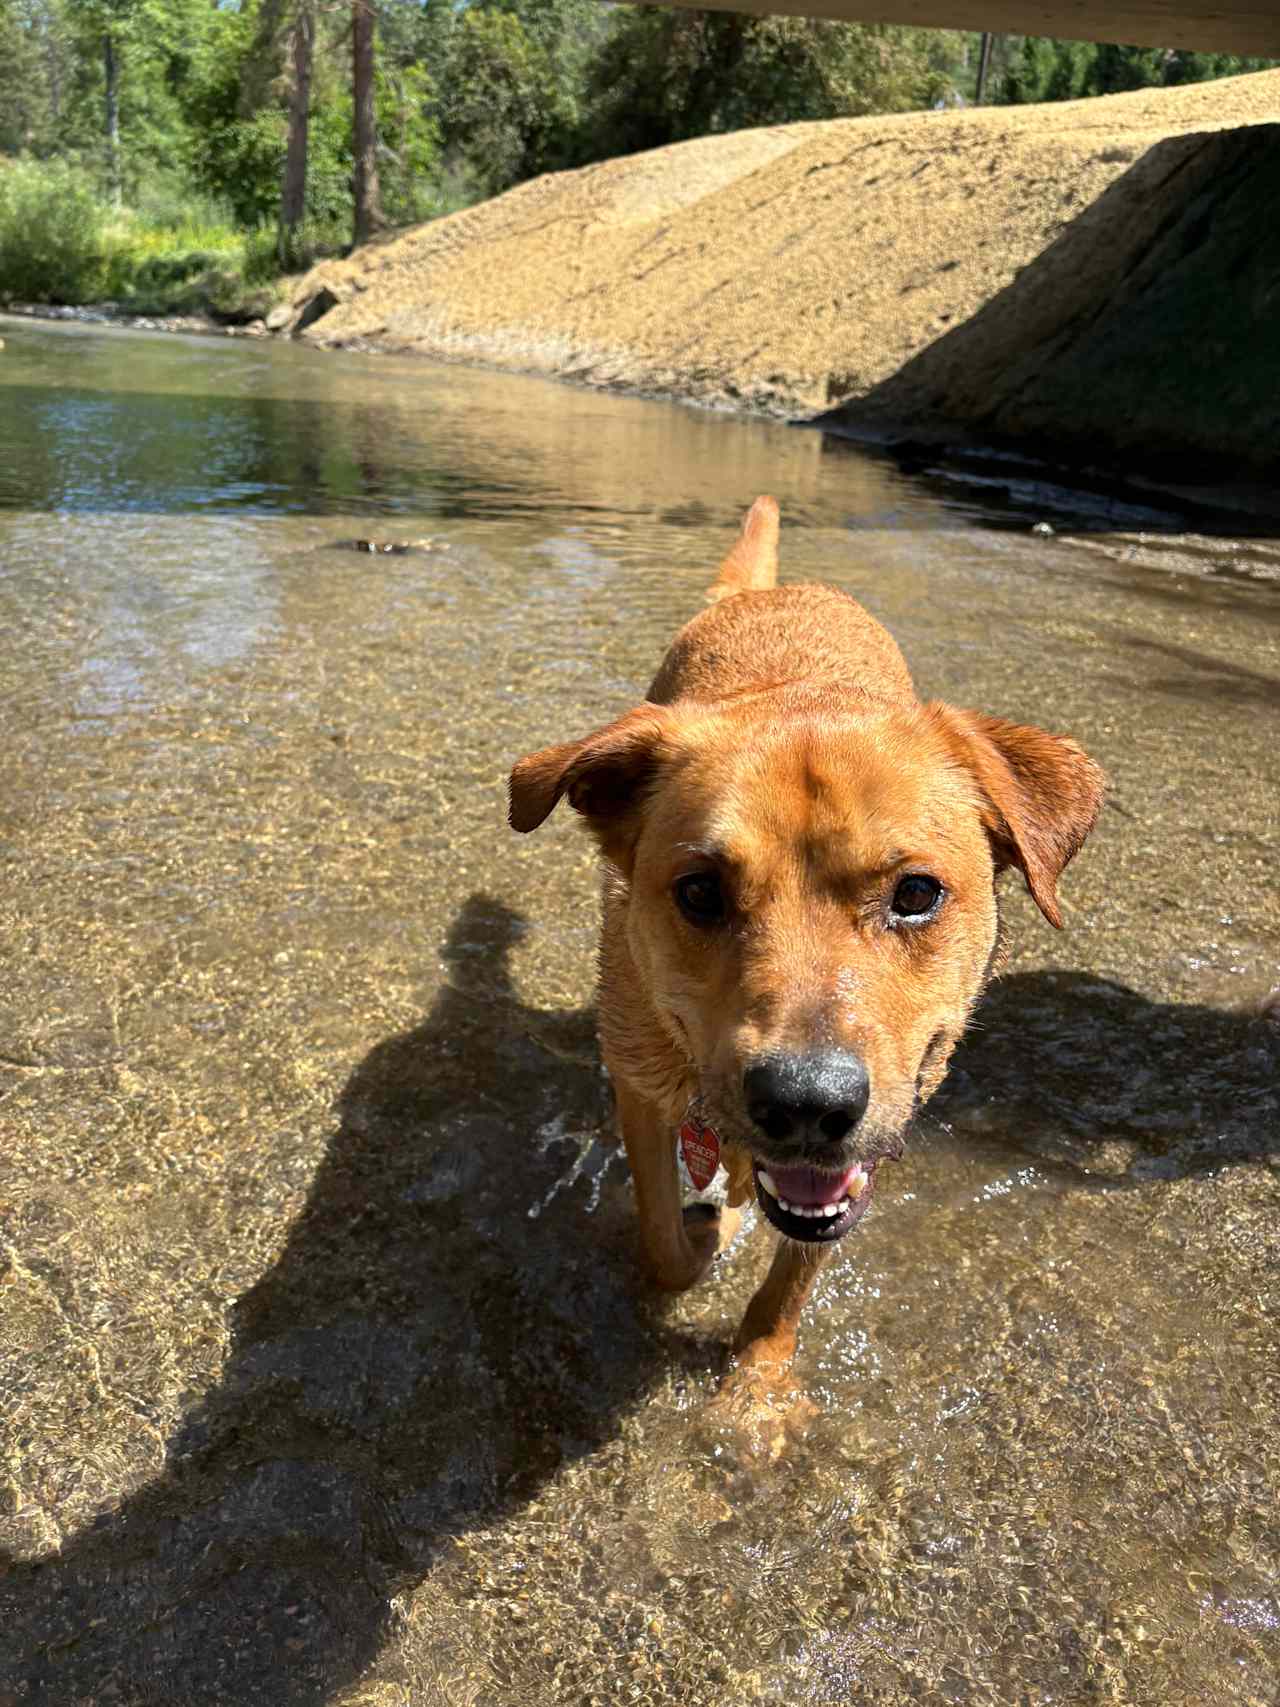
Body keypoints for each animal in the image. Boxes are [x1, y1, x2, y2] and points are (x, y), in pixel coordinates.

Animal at [508, 495, 1105, 1386]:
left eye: (917, 893)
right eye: (699, 892)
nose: (805, 1102)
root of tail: (772, 592)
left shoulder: (880, 1126)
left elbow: (788, 1287)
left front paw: (759, 1374)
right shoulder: (643, 1091)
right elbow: (663, 1245)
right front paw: (710, 1230)